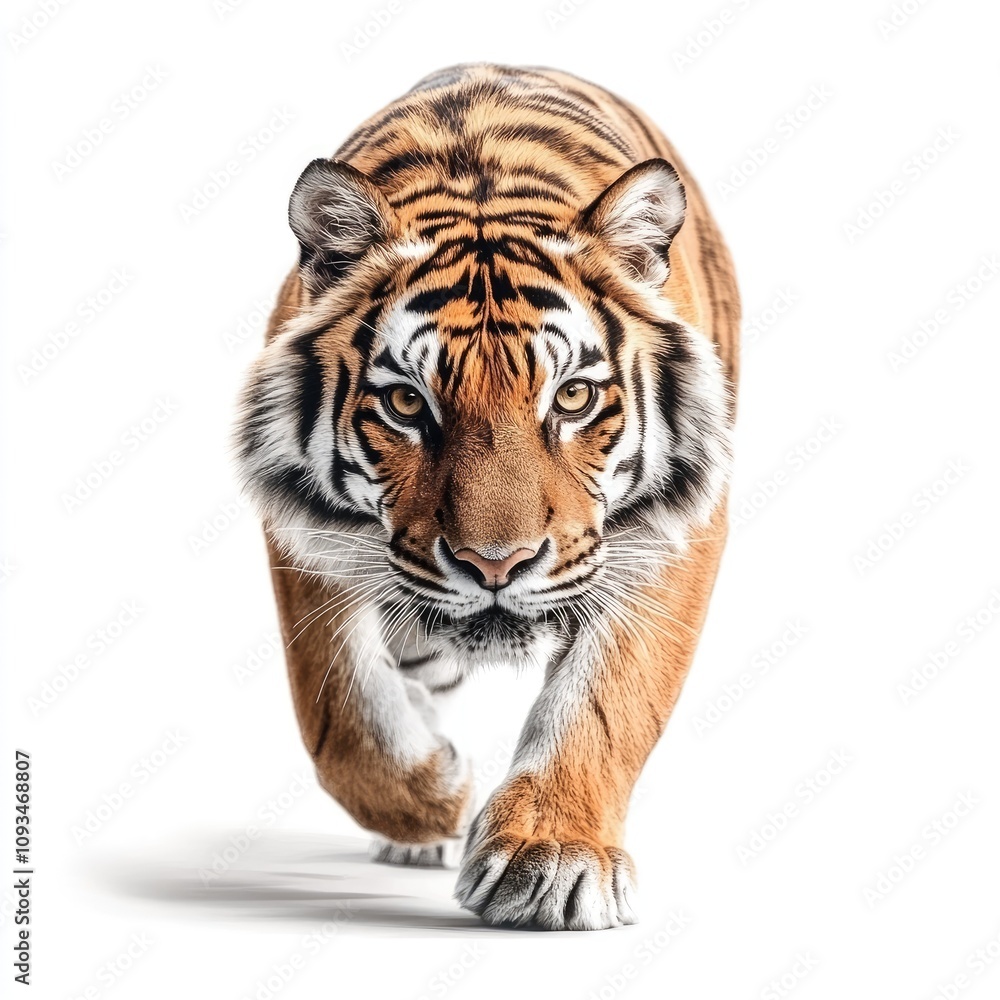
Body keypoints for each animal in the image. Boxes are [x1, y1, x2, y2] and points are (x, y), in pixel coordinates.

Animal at [234, 63, 739, 931]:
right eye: (408, 404)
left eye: (572, 398)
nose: (495, 565)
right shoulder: (304, 532)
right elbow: (339, 713)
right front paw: (437, 797)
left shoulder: (675, 532)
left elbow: (610, 700)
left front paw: (553, 861)